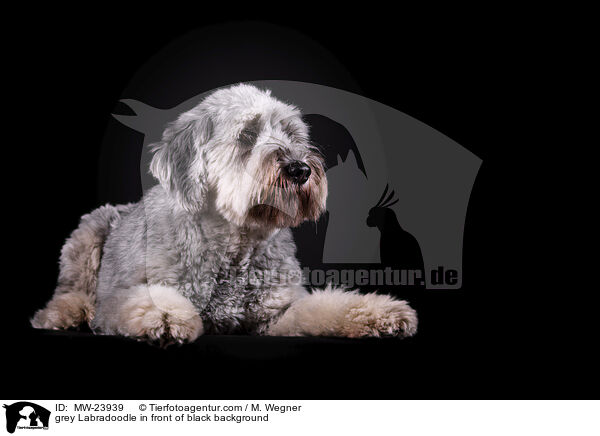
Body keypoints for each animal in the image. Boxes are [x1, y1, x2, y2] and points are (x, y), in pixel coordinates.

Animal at [31, 84, 418, 344]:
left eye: (292, 134)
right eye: (246, 135)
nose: (300, 169)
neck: (235, 245)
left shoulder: (277, 314)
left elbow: (326, 307)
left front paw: (379, 312)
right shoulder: (120, 298)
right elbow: (143, 301)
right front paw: (166, 316)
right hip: (87, 234)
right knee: (70, 290)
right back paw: (65, 313)